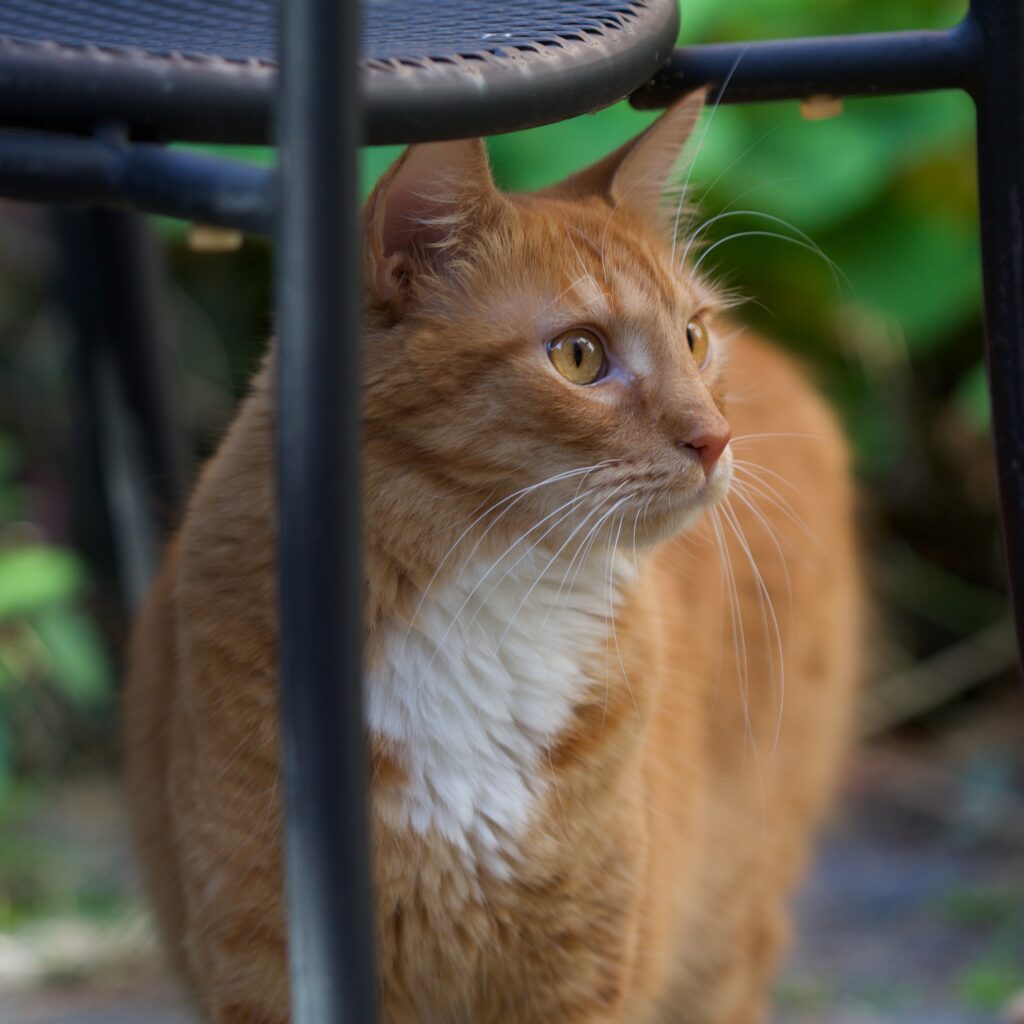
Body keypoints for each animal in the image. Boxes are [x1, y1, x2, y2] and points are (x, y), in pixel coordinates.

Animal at [125, 92, 864, 1019]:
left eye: (693, 338)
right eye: (579, 355)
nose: (714, 437)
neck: (490, 613)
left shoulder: (579, 973)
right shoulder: (263, 963)